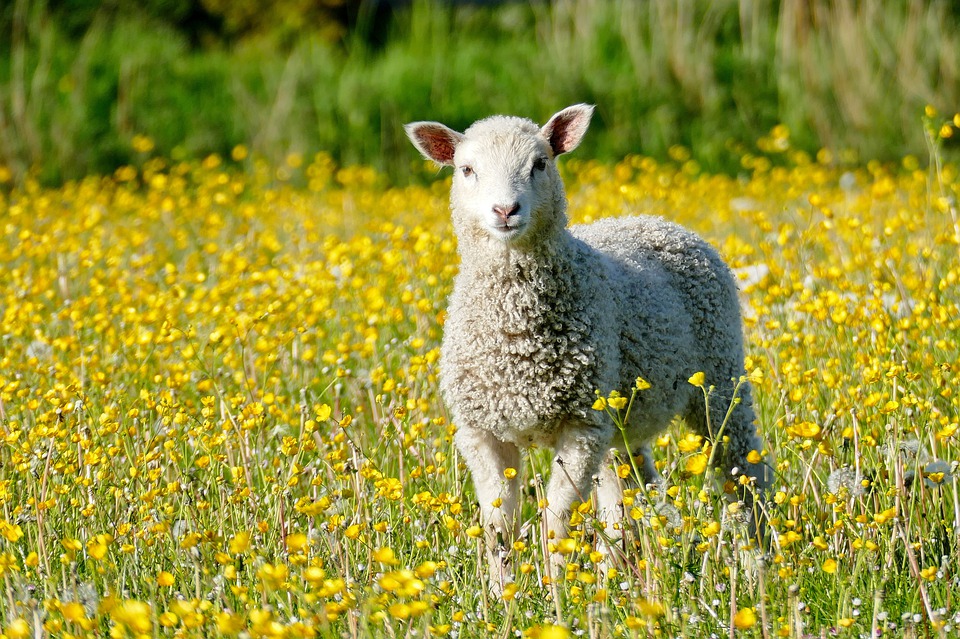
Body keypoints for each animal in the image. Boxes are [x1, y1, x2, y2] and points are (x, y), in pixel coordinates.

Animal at [408, 105, 768, 592]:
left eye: (540, 163)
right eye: (467, 170)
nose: (505, 210)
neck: (516, 336)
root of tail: (657, 220)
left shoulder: (580, 427)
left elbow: (557, 522)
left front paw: (556, 589)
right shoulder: (481, 431)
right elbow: (498, 524)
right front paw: (503, 594)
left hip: (719, 376)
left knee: (744, 470)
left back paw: (761, 566)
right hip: (621, 417)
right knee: (630, 490)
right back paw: (627, 577)